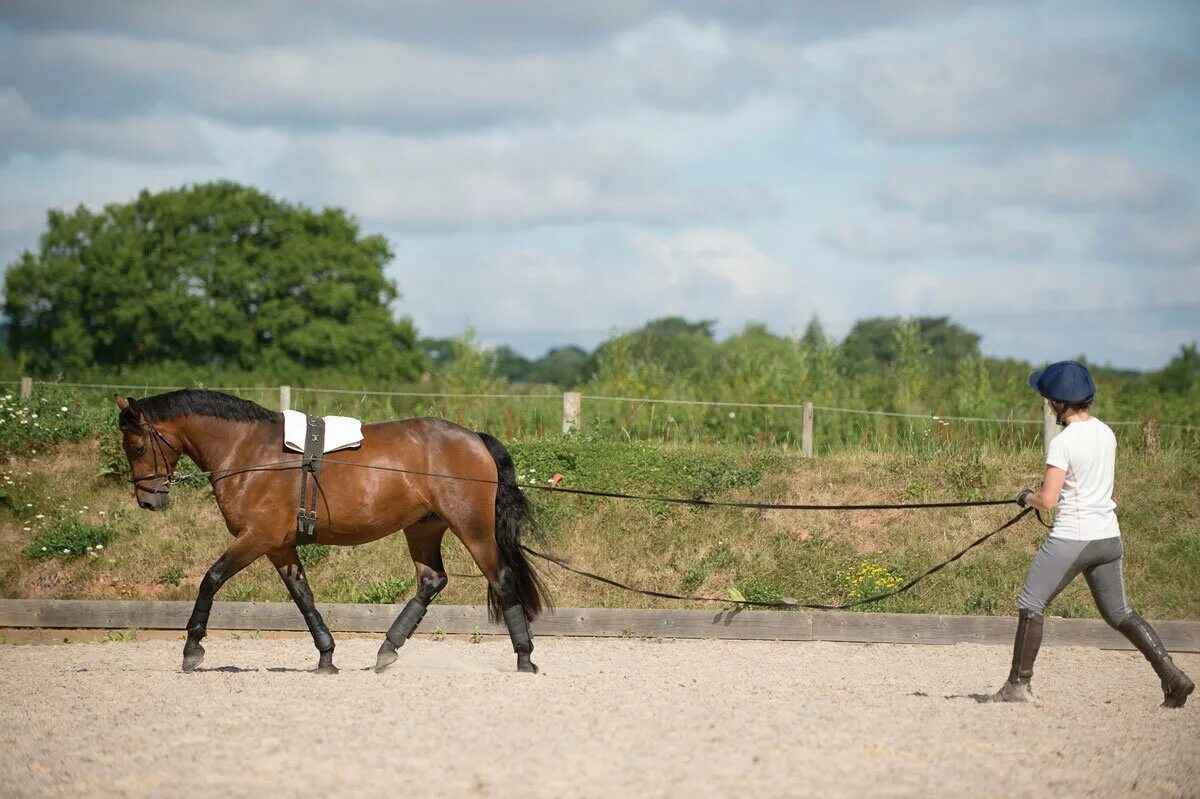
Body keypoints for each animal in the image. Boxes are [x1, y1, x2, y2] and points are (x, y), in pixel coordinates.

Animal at [112, 386, 549, 671]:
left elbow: (211, 579)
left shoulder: (256, 538)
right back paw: (387, 649)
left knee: (501, 578)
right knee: (431, 580)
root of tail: (474, 437)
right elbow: (302, 595)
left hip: (472, 528)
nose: (148, 500)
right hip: (423, 529)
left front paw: (192, 648)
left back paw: (525, 657)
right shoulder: (278, 545)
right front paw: (326, 655)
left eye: (137, 446)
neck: (247, 452)